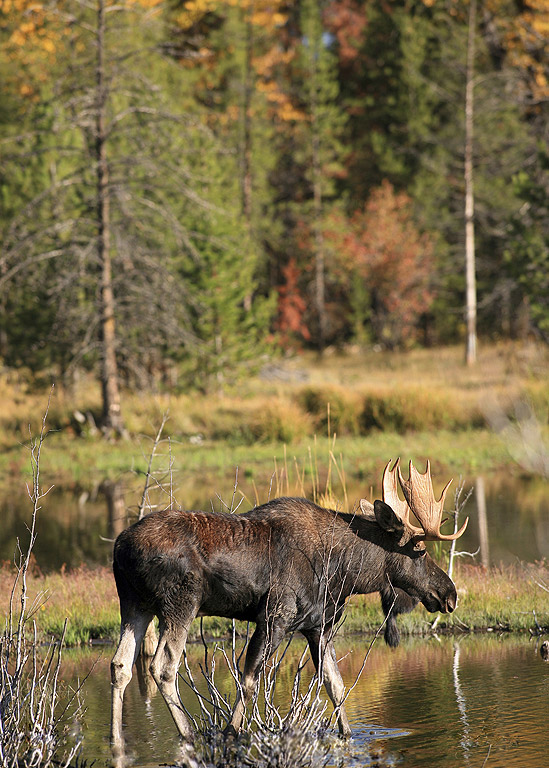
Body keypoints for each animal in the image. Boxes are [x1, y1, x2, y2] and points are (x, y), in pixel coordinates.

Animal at [110, 460, 466, 748]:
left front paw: (348, 735)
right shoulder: (275, 616)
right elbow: (250, 679)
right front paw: (230, 733)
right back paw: (188, 734)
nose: (449, 594)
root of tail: (120, 548)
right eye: (420, 549)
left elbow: (335, 685)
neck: (345, 572)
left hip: (134, 605)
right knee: (162, 666)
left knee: (120, 665)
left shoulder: (317, 626)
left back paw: (116, 739)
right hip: (180, 604)